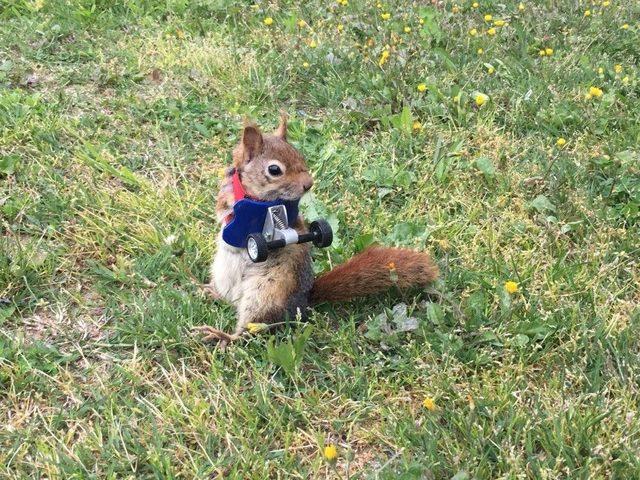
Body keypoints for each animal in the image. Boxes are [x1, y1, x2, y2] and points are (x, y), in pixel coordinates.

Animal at [191, 116, 440, 348]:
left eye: (300, 156)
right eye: (274, 170)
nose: (308, 184)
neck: (253, 197)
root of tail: (302, 303)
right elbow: (224, 208)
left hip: (267, 294)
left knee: (253, 329)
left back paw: (224, 335)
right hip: (226, 276)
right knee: (230, 302)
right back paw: (211, 292)